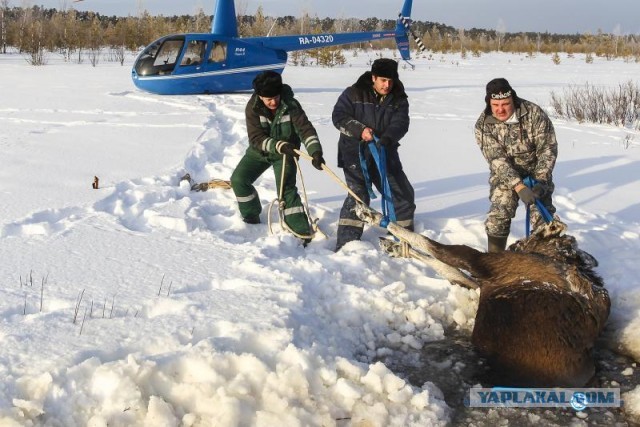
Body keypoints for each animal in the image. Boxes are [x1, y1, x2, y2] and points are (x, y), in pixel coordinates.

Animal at [356, 203, 608, 388]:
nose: (550, 220)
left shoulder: (485, 265)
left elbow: (430, 245)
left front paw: (373, 215)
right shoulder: (482, 282)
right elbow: (442, 265)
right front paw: (396, 247)